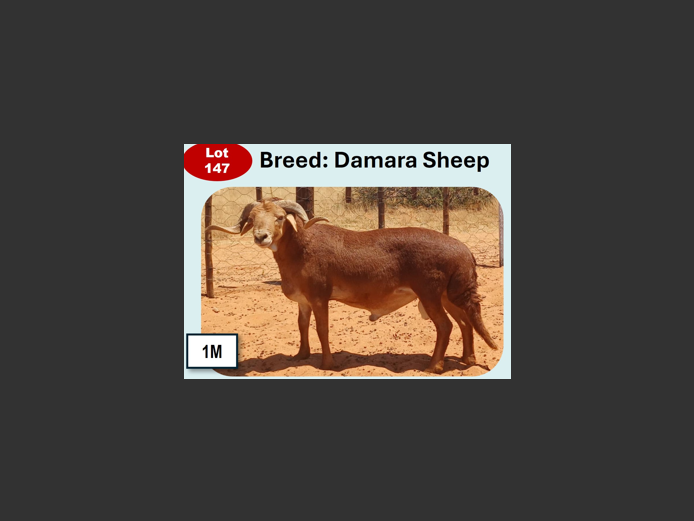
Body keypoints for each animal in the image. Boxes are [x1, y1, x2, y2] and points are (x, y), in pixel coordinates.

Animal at [206, 199, 498, 374]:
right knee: (465, 323)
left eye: (279, 217)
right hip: (450, 294)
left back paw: (433, 366)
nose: (261, 237)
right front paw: (301, 356)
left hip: (430, 293)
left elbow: (322, 329)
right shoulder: (303, 300)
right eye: (252, 219)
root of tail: (463, 250)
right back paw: (468, 360)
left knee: (446, 326)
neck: (301, 248)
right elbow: (302, 326)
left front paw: (327, 363)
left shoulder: (319, 296)